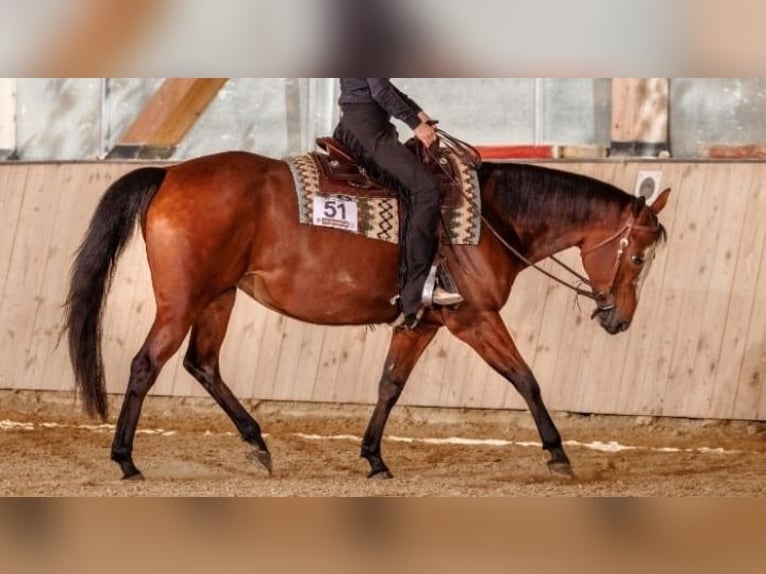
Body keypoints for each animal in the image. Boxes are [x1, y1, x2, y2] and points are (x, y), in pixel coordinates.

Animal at [64, 149, 670, 480]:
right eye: (638, 256)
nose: (619, 319)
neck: (492, 218)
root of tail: (170, 174)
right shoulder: (474, 319)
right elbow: (526, 379)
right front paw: (557, 453)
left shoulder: (423, 322)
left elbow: (390, 385)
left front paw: (374, 457)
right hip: (183, 301)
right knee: (146, 365)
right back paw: (125, 459)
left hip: (219, 297)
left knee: (203, 364)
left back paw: (257, 442)